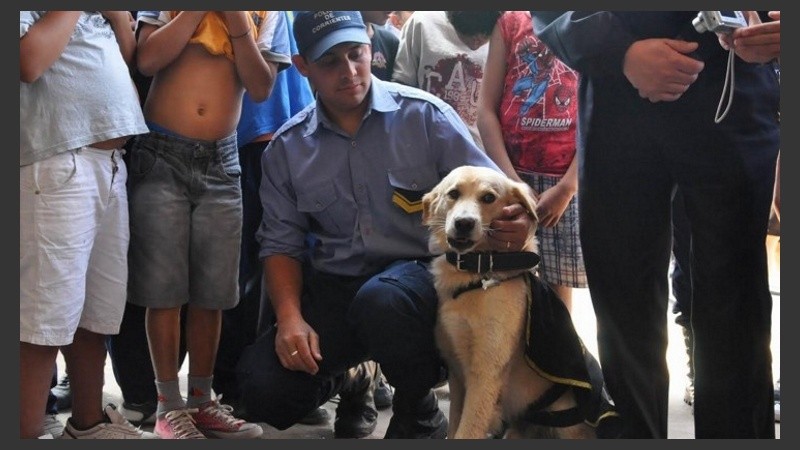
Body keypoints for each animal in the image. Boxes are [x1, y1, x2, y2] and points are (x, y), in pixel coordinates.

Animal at [422, 167, 596, 438]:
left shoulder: (485, 375)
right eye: (453, 194)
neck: (477, 275)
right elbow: (454, 427)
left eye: (488, 198)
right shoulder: (457, 372)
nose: (464, 223)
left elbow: (467, 431)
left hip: (567, 421)